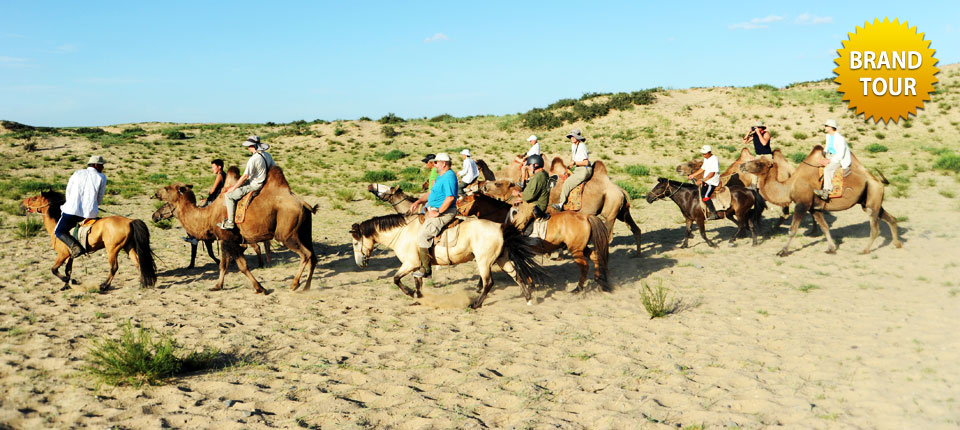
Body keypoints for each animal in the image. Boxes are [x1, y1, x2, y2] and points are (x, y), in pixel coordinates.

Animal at [21, 192, 158, 290]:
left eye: (34, 198)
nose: (22, 203)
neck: (56, 227)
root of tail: (129, 221)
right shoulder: (70, 256)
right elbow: (68, 270)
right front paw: (66, 285)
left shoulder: (62, 254)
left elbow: (54, 270)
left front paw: (68, 281)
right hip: (128, 247)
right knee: (138, 263)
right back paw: (142, 283)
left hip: (112, 249)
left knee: (114, 267)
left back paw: (104, 286)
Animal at [155, 166, 318, 294]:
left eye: (167, 189)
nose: (156, 193)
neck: (208, 215)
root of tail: (303, 203)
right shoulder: (224, 239)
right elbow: (223, 265)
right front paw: (217, 286)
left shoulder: (230, 238)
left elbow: (242, 266)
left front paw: (261, 288)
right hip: (304, 231)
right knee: (313, 256)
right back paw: (307, 287)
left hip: (285, 234)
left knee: (305, 254)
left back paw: (294, 284)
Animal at [350, 213, 548, 308]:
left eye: (355, 242)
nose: (360, 263)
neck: (404, 232)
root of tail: (500, 227)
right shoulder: (418, 266)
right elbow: (417, 281)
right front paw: (418, 296)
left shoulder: (410, 263)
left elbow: (396, 279)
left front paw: (411, 294)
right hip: (502, 259)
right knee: (517, 276)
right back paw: (529, 299)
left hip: (484, 261)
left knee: (488, 283)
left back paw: (475, 304)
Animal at [744, 147, 900, 255]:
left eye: (759, 162)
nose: (742, 166)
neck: (790, 186)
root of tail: (878, 181)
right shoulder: (814, 208)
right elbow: (825, 227)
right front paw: (831, 248)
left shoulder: (802, 205)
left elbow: (792, 230)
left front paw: (783, 251)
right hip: (870, 199)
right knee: (891, 218)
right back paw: (897, 244)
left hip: (872, 198)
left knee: (875, 228)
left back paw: (865, 250)